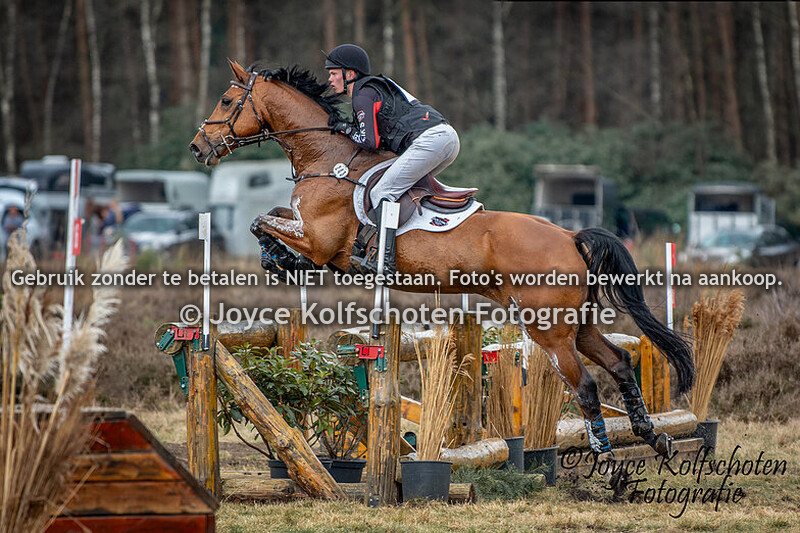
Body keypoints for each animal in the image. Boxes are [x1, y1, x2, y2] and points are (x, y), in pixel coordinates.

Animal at [190, 60, 694, 460]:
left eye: (226, 99)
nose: (197, 147)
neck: (327, 158)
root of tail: (569, 235)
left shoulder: (318, 239)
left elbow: (261, 220)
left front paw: (279, 257)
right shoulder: (306, 228)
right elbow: (271, 215)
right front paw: (281, 259)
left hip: (549, 330)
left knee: (586, 385)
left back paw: (606, 459)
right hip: (578, 324)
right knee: (620, 363)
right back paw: (654, 437)